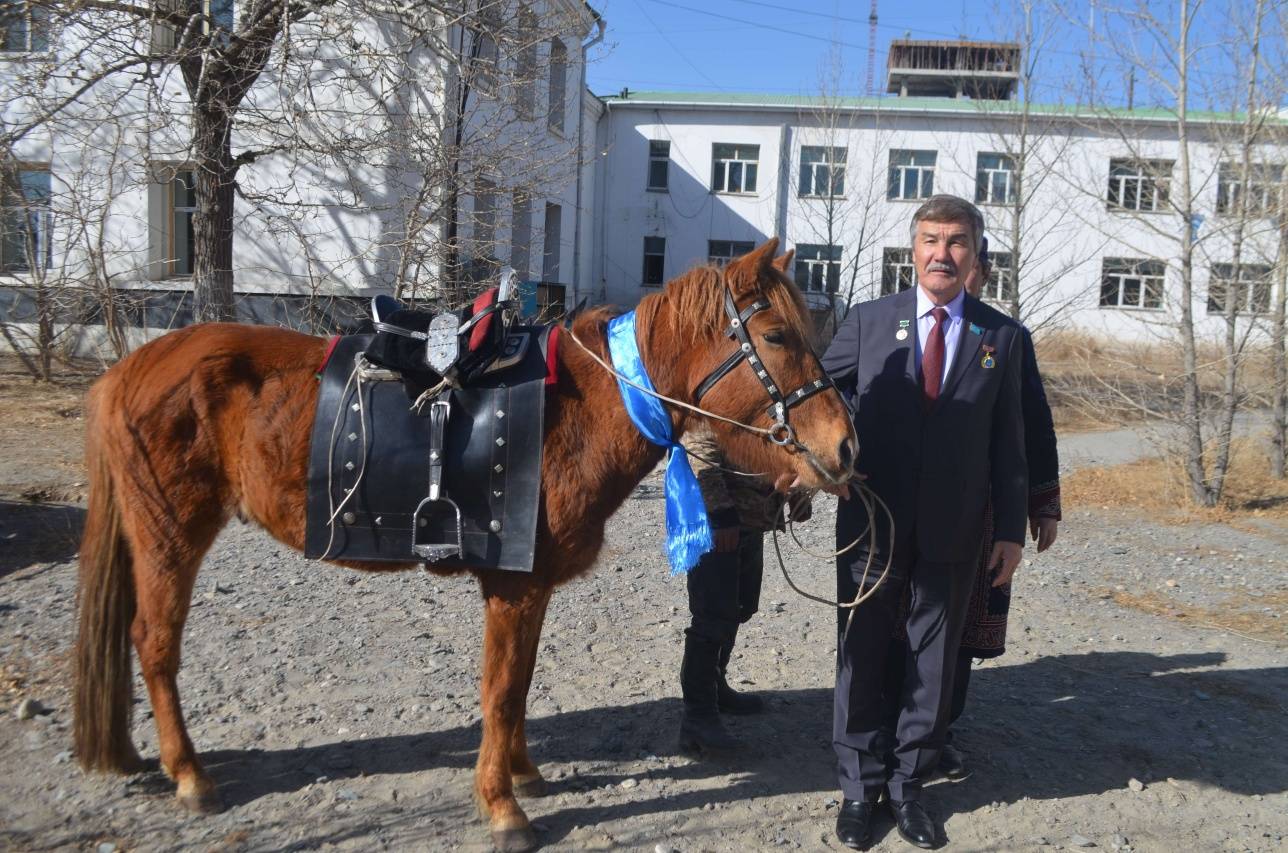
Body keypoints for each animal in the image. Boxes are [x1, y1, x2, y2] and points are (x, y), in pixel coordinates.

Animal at [70, 237, 855, 850]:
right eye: (778, 338)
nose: (843, 448)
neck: (577, 411)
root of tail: (125, 370)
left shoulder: (529, 587)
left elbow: (520, 683)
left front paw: (523, 775)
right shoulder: (511, 586)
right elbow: (501, 689)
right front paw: (502, 806)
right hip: (171, 533)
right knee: (154, 644)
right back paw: (190, 775)